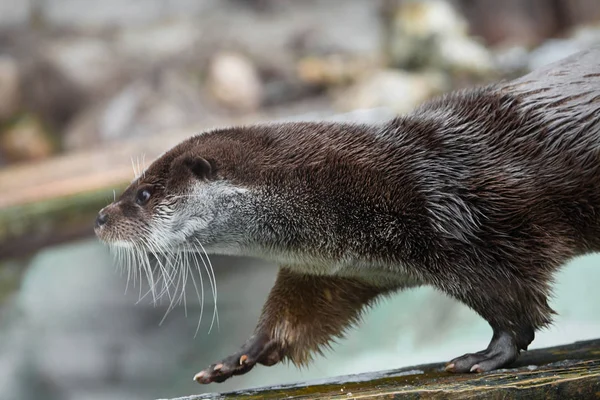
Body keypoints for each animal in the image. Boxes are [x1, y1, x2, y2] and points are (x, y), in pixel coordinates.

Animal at [95, 47, 600, 384]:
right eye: (131, 189)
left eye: (142, 194)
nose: (100, 217)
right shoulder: (336, 269)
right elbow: (298, 313)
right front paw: (236, 357)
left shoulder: (468, 230)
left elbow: (514, 310)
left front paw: (485, 357)